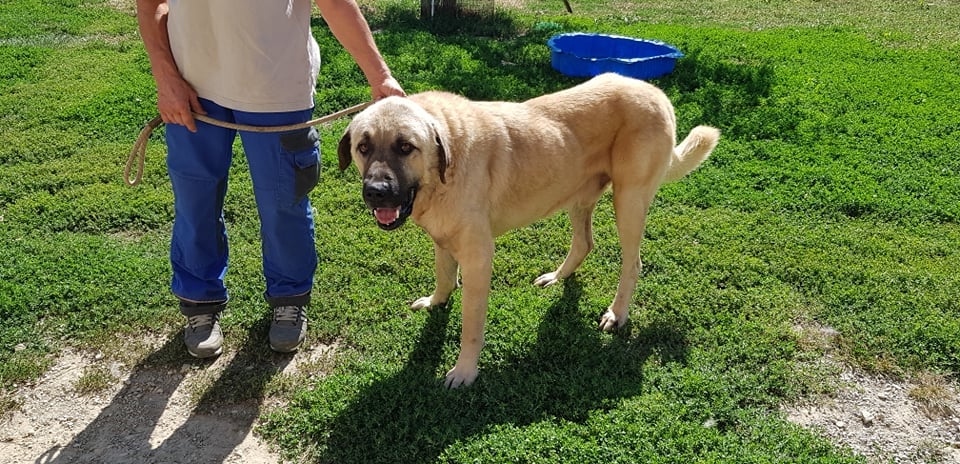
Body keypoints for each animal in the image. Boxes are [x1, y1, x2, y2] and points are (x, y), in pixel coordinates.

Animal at [338, 73, 720, 388]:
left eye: (406, 147)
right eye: (363, 146)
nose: (376, 192)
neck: (444, 164)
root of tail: (657, 93)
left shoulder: (478, 258)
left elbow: (471, 327)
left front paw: (465, 372)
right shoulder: (443, 239)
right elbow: (444, 278)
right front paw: (436, 302)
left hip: (628, 201)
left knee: (632, 263)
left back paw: (617, 313)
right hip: (579, 197)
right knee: (585, 243)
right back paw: (557, 276)